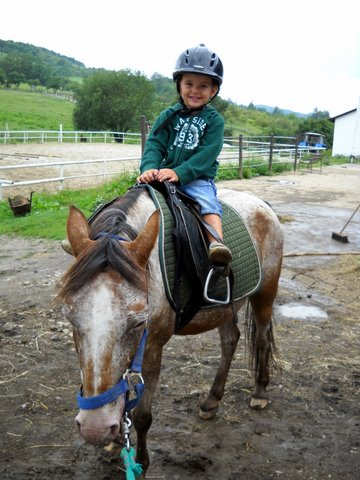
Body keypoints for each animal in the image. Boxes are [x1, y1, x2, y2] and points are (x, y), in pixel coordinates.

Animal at [57, 187, 282, 472]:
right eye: (70, 317)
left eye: (139, 321)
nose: (94, 428)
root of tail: (262, 204)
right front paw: (116, 443)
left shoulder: (152, 348)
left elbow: (142, 415)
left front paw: (140, 462)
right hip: (224, 307)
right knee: (230, 340)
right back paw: (211, 401)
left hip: (265, 293)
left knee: (262, 338)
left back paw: (260, 392)